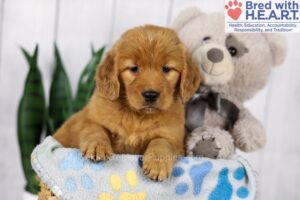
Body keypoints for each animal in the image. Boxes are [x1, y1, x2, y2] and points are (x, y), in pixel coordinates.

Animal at [54, 24, 200, 180]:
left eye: (166, 69)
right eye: (133, 68)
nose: (150, 95)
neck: (136, 116)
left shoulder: (174, 138)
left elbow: (161, 142)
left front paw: (157, 164)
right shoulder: (86, 118)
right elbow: (94, 129)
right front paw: (97, 147)